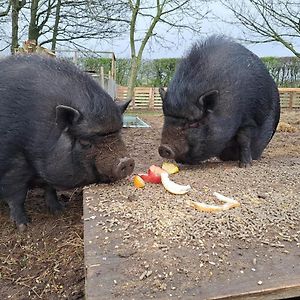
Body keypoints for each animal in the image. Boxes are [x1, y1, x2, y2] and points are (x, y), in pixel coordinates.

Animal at [0, 54, 134, 231]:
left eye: (119, 132)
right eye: (85, 142)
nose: (126, 161)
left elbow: (50, 188)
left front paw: (59, 210)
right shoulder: (13, 161)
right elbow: (17, 195)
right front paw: (24, 226)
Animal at [161, 36, 280, 168]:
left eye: (193, 123)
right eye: (166, 118)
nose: (163, 148)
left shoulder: (248, 119)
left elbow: (244, 139)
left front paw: (245, 165)